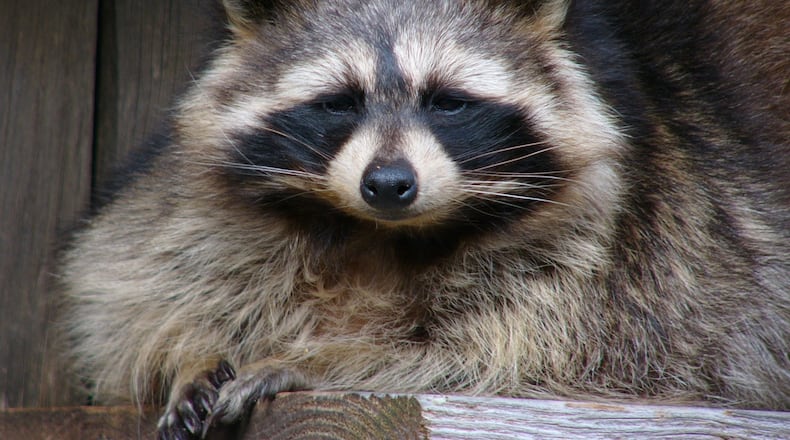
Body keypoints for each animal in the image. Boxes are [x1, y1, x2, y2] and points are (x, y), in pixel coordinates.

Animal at [59, 0, 790, 438]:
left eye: (447, 102)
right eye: (339, 102)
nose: (388, 184)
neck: (379, 236)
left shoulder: (642, 253)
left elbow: (527, 357)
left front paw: (326, 359)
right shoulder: (179, 206)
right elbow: (130, 284)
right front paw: (191, 349)